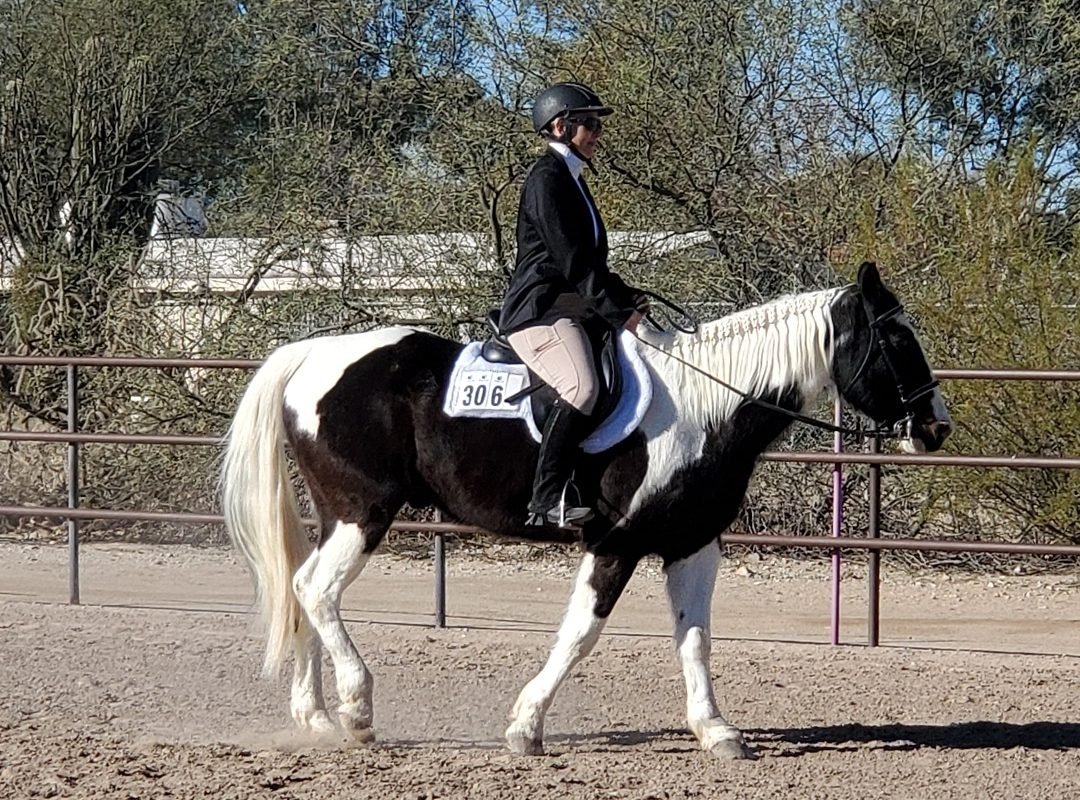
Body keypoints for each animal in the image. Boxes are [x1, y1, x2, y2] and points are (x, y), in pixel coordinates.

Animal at [220, 261, 951, 760]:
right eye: (897, 341)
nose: (936, 427)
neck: (707, 406)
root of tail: (312, 353)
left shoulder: (692, 544)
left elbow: (695, 638)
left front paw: (716, 731)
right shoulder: (615, 544)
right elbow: (580, 635)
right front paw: (525, 727)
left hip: (339, 513)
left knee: (305, 589)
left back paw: (316, 717)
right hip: (363, 510)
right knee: (316, 588)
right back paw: (357, 710)